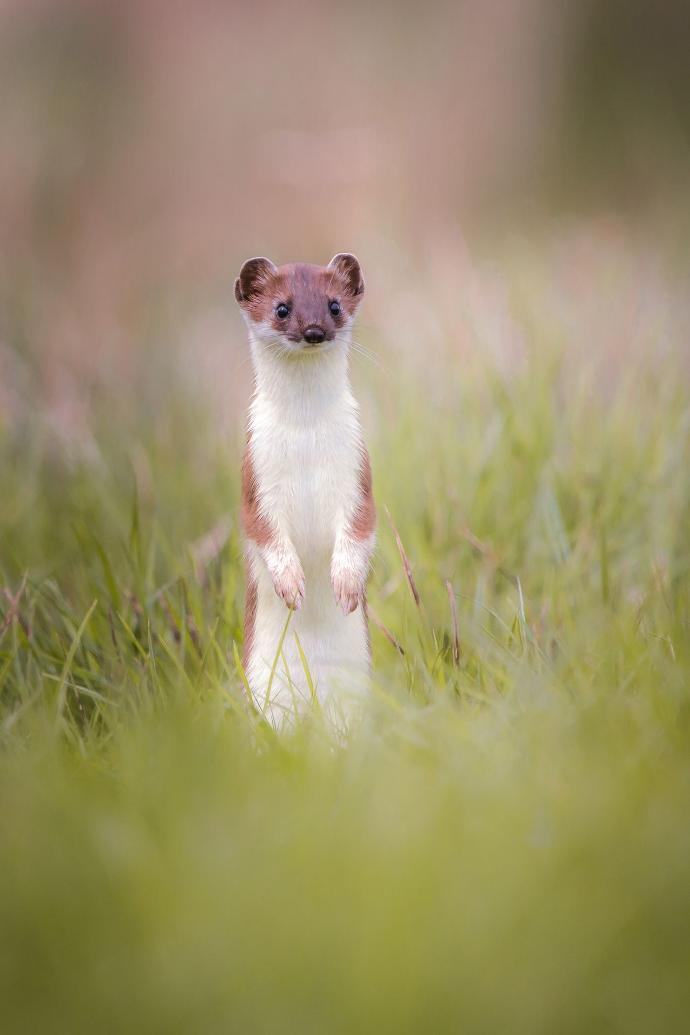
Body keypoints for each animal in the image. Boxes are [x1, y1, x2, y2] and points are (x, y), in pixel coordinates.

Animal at [237, 253, 378, 724]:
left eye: (334, 304)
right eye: (282, 307)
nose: (314, 329)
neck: (306, 434)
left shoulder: (357, 472)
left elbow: (359, 530)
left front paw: (346, 585)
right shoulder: (255, 478)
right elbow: (264, 531)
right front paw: (291, 583)